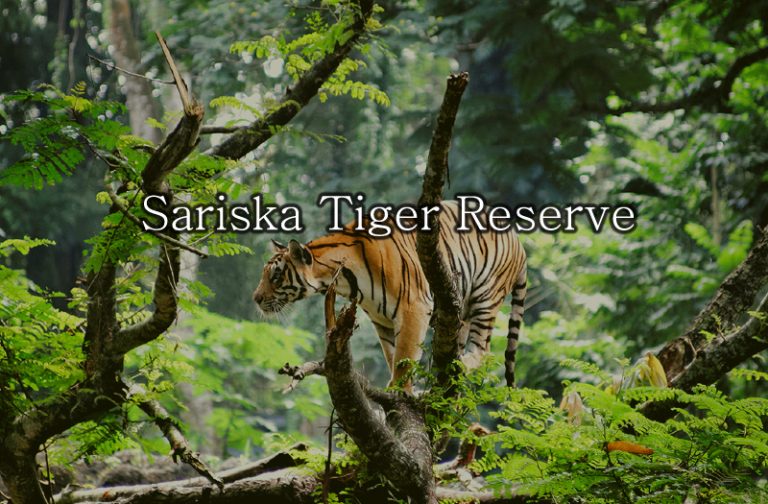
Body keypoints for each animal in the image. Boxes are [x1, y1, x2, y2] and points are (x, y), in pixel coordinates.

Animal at [253, 200, 527, 390]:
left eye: (275, 276)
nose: (256, 299)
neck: (343, 279)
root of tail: (519, 241)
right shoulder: (381, 319)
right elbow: (392, 354)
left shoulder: (413, 307)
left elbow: (404, 356)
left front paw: (400, 390)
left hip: (486, 297)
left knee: (483, 350)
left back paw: (459, 366)